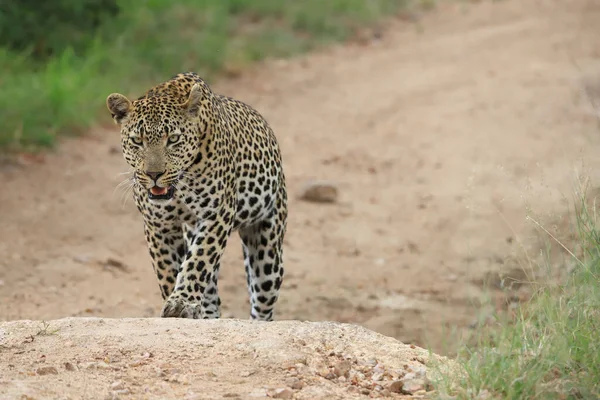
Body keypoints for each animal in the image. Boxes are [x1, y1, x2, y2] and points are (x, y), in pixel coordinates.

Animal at [105, 72, 286, 320]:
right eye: (137, 141)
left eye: (173, 139)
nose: (154, 174)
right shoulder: (158, 225)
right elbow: (169, 269)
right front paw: (178, 303)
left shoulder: (217, 214)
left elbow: (199, 260)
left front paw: (181, 302)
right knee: (211, 296)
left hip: (268, 252)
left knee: (263, 303)